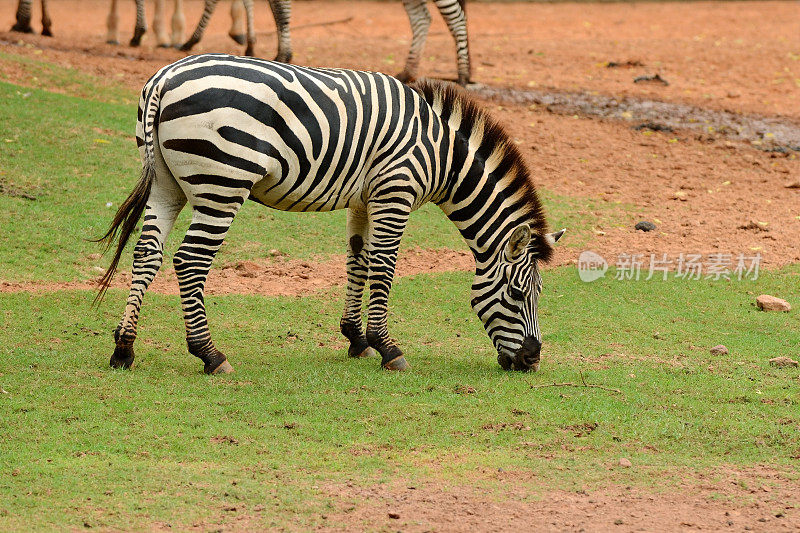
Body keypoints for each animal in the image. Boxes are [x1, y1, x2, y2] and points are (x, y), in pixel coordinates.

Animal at [98, 54, 564, 374]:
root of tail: (165, 78)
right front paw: (387, 347)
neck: (443, 156)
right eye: (517, 294)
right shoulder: (395, 192)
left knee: (147, 254)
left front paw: (356, 338)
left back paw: (124, 347)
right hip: (222, 183)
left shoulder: (363, 199)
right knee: (189, 261)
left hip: (166, 184)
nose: (532, 361)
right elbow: (384, 267)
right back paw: (210, 354)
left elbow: (358, 260)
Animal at [180, 0, 468, 84]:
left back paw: (463, 74)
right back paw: (408, 71)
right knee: (422, 16)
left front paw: (284, 56)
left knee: (456, 18)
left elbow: (280, 11)